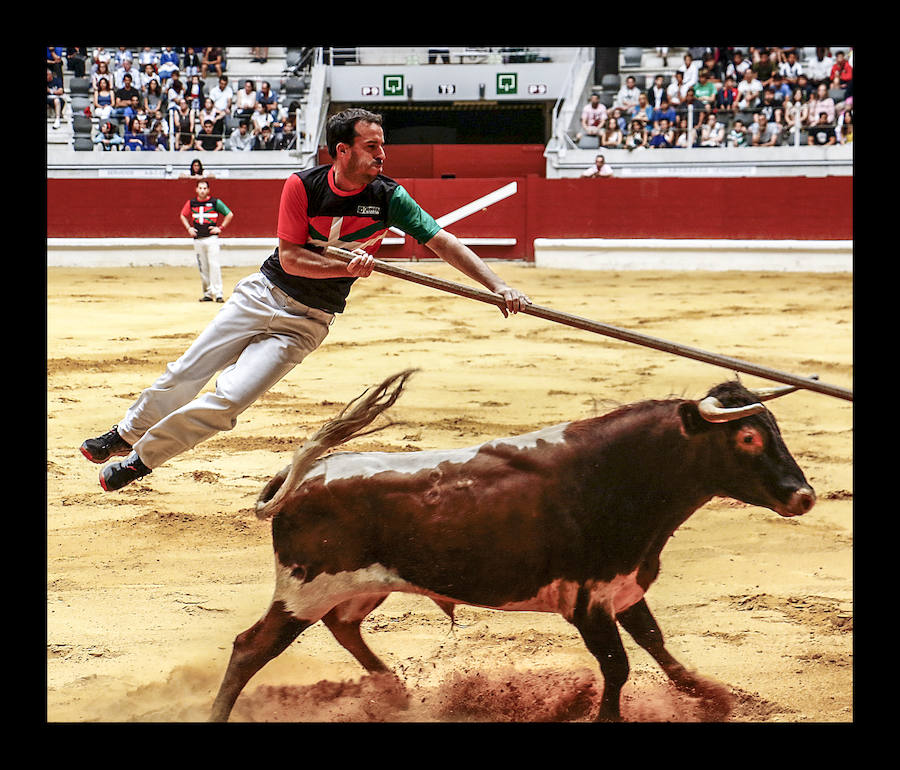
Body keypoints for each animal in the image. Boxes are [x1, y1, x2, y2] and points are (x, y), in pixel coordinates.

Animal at [209, 370, 816, 720]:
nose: (804, 496)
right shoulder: (587, 602)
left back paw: (396, 692)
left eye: (777, 430)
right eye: (747, 436)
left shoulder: (623, 588)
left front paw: (710, 697)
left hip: (359, 586)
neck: (620, 473)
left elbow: (656, 646)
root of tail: (301, 478)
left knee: (344, 626)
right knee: (250, 647)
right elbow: (618, 664)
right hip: (305, 588)